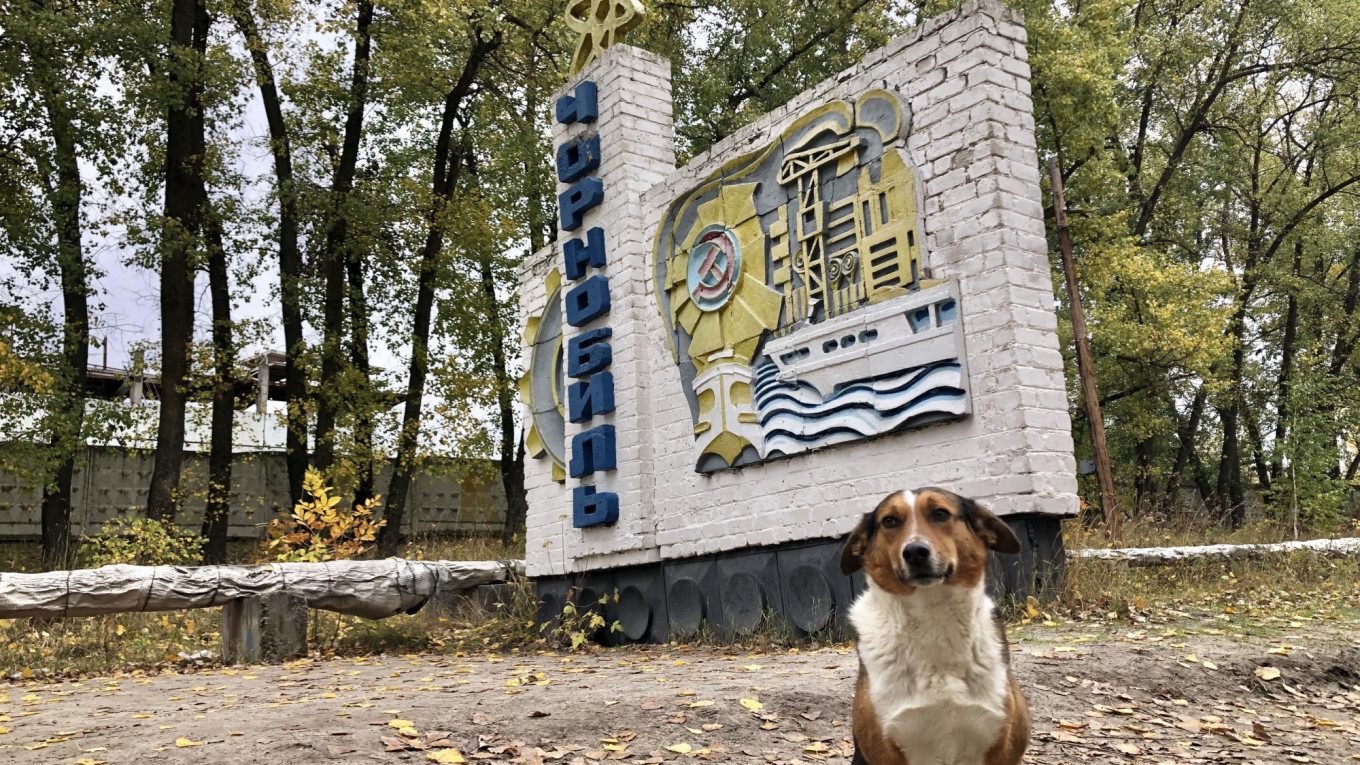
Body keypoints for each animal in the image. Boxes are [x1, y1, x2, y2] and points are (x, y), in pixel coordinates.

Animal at [837, 487, 1028, 762]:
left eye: (940, 514)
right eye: (889, 521)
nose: (915, 552)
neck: (932, 616)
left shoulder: (1005, 748)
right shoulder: (884, 752)